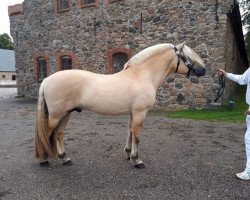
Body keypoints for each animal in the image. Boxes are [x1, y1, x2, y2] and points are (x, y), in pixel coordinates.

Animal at [35, 43, 207, 168]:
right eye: (187, 57)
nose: (203, 71)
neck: (142, 75)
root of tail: (46, 80)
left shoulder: (133, 112)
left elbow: (130, 132)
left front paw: (128, 153)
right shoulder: (140, 112)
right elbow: (137, 136)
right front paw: (137, 160)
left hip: (66, 113)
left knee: (58, 133)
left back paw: (65, 158)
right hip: (56, 115)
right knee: (46, 133)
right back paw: (44, 160)